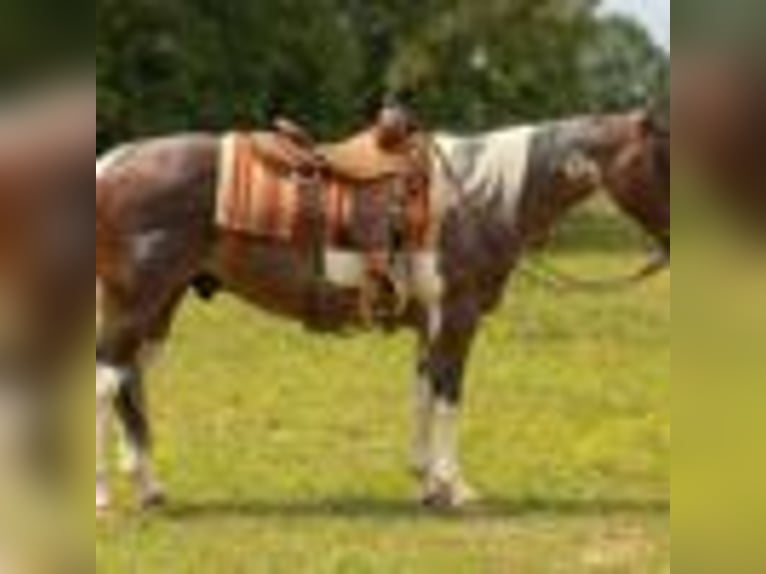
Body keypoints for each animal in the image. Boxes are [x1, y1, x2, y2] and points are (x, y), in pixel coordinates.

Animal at [95, 108, 669, 513]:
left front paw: (427, 483)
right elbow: (448, 396)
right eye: (662, 160)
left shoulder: (429, 324)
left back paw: (150, 488)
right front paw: (456, 487)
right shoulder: (457, 317)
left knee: (130, 385)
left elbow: (423, 393)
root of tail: (110, 163)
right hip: (134, 304)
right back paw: (105, 497)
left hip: (160, 306)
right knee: (106, 383)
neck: (480, 195)